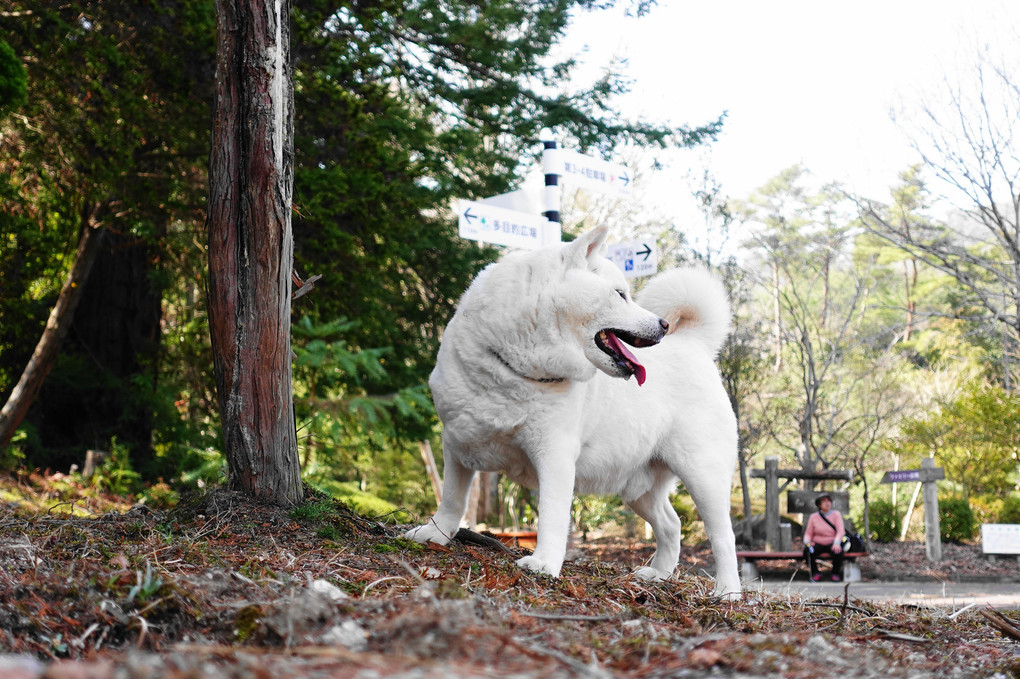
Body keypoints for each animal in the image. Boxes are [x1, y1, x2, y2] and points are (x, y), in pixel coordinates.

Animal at [408, 226, 742, 591]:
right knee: (672, 524)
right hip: (640, 488)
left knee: (723, 539)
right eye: (620, 294)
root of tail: (695, 343)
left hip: (703, 476)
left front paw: (543, 563)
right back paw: (658, 574)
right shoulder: (457, 442)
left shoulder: (554, 455)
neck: (513, 370)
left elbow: (551, 516)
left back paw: (728, 591)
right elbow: (452, 498)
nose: (664, 324)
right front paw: (435, 534)